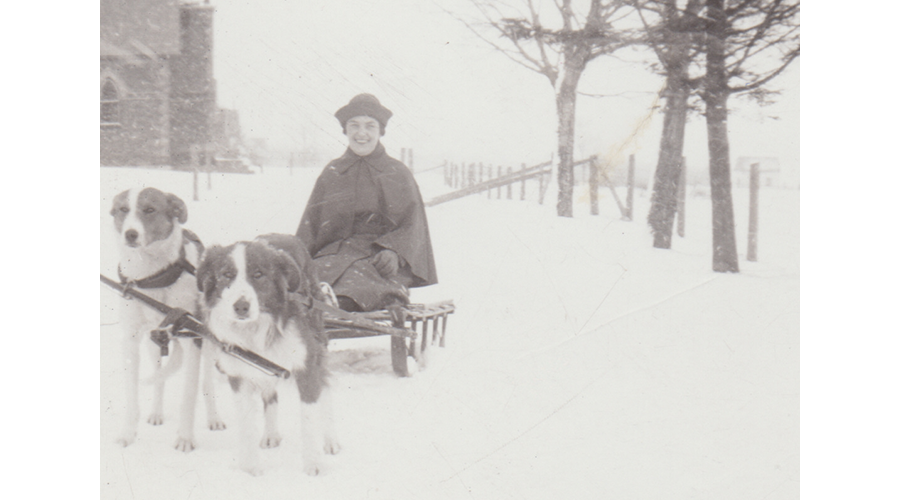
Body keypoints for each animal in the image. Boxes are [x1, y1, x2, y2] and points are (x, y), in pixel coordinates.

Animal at [109, 188, 225, 454]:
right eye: (122, 210)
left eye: (150, 209)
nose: (130, 234)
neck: (153, 276)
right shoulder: (130, 340)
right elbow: (132, 394)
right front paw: (127, 434)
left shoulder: (194, 338)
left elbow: (189, 394)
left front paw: (185, 438)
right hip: (155, 343)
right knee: (159, 377)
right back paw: (156, 412)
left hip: (208, 344)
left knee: (207, 383)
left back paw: (214, 418)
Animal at [196, 234, 338, 476]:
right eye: (227, 274)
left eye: (258, 274)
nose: (240, 307)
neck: (255, 329)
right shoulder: (239, 375)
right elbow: (247, 425)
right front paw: (250, 469)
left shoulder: (306, 366)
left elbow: (309, 418)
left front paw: (313, 464)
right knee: (270, 395)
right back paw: (271, 434)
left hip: (317, 344)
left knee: (326, 389)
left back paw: (330, 440)